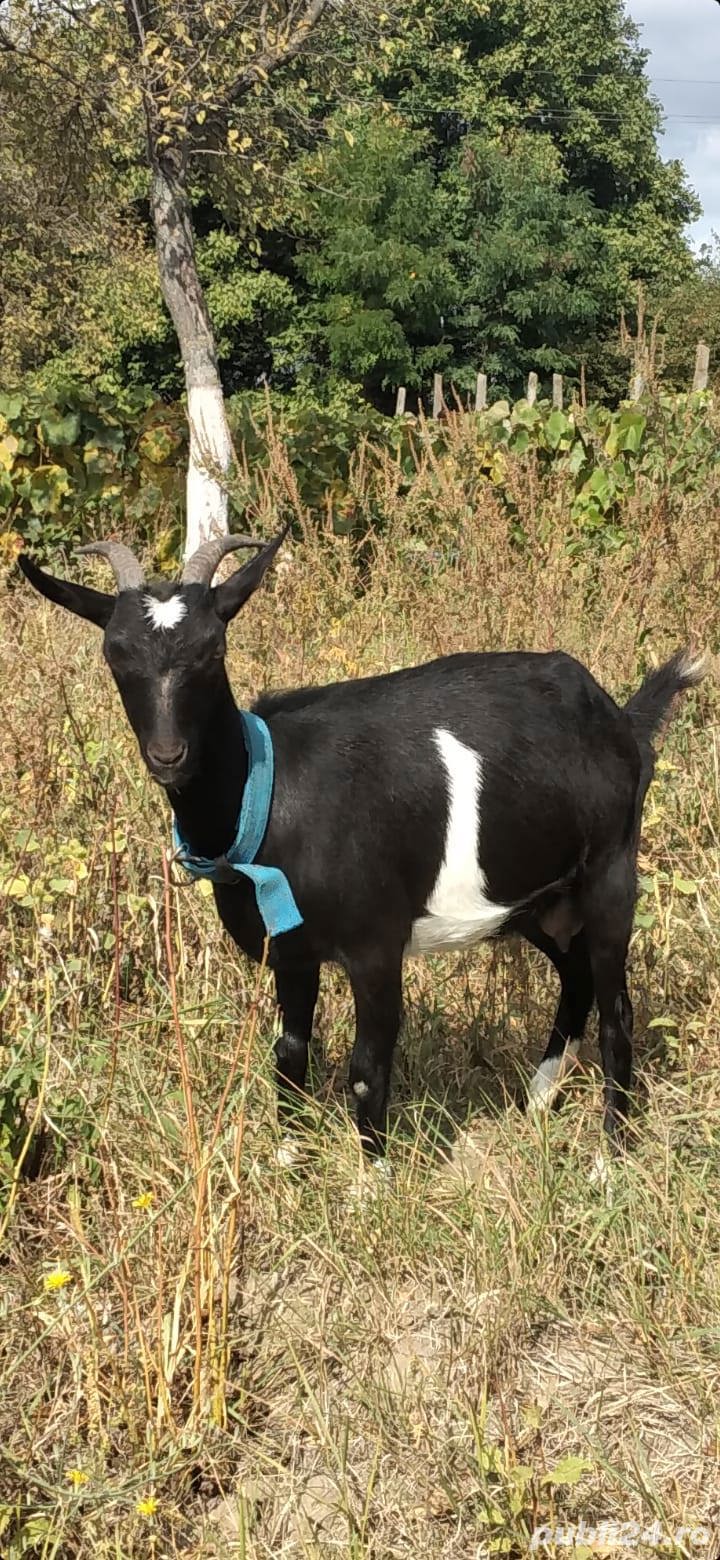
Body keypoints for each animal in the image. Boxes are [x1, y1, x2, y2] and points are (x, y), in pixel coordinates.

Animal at [19, 531, 705, 1162]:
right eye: (115, 653)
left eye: (213, 648)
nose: (169, 755)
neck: (271, 796)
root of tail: (621, 720)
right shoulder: (290, 950)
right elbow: (290, 1053)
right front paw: (289, 1161)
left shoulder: (376, 944)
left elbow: (366, 1069)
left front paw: (369, 1182)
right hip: (538, 899)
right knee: (576, 977)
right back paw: (537, 1103)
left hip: (610, 872)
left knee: (617, 1008)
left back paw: (609, 1155)